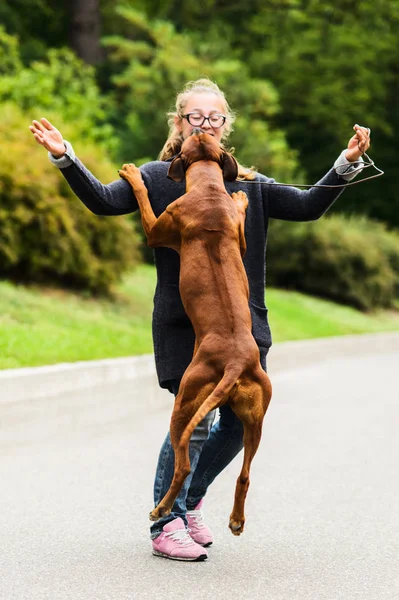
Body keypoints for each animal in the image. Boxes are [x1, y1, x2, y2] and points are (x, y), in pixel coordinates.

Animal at [119, 131, 272, 536]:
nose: (198, 129)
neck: (208, 190)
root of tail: (235, 363)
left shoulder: (157, 228)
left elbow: (144, 203)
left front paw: (133, 175)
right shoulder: (239, 237)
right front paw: (241, 199)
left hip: (186, 400)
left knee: (184, 464)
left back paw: (160, 510)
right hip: (256, 416)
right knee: (244, 474)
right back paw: (236, 520)